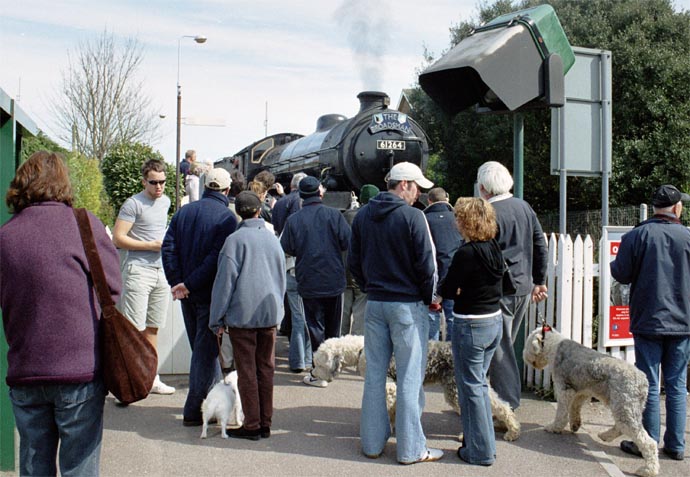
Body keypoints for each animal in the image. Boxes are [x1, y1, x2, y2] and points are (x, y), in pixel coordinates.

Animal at [520, 324, 656, 476]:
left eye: (527, 343)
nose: (524, 356)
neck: (554, 346)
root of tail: (643, 380)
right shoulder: (581, 392)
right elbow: (574, 408)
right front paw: (575, 425)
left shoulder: (564, 389)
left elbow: (561, 413)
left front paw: (554, 427)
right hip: (625, 406)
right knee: (621, 427)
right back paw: (604, 435)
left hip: (624, 405)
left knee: (648, 442)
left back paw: (648, 470)